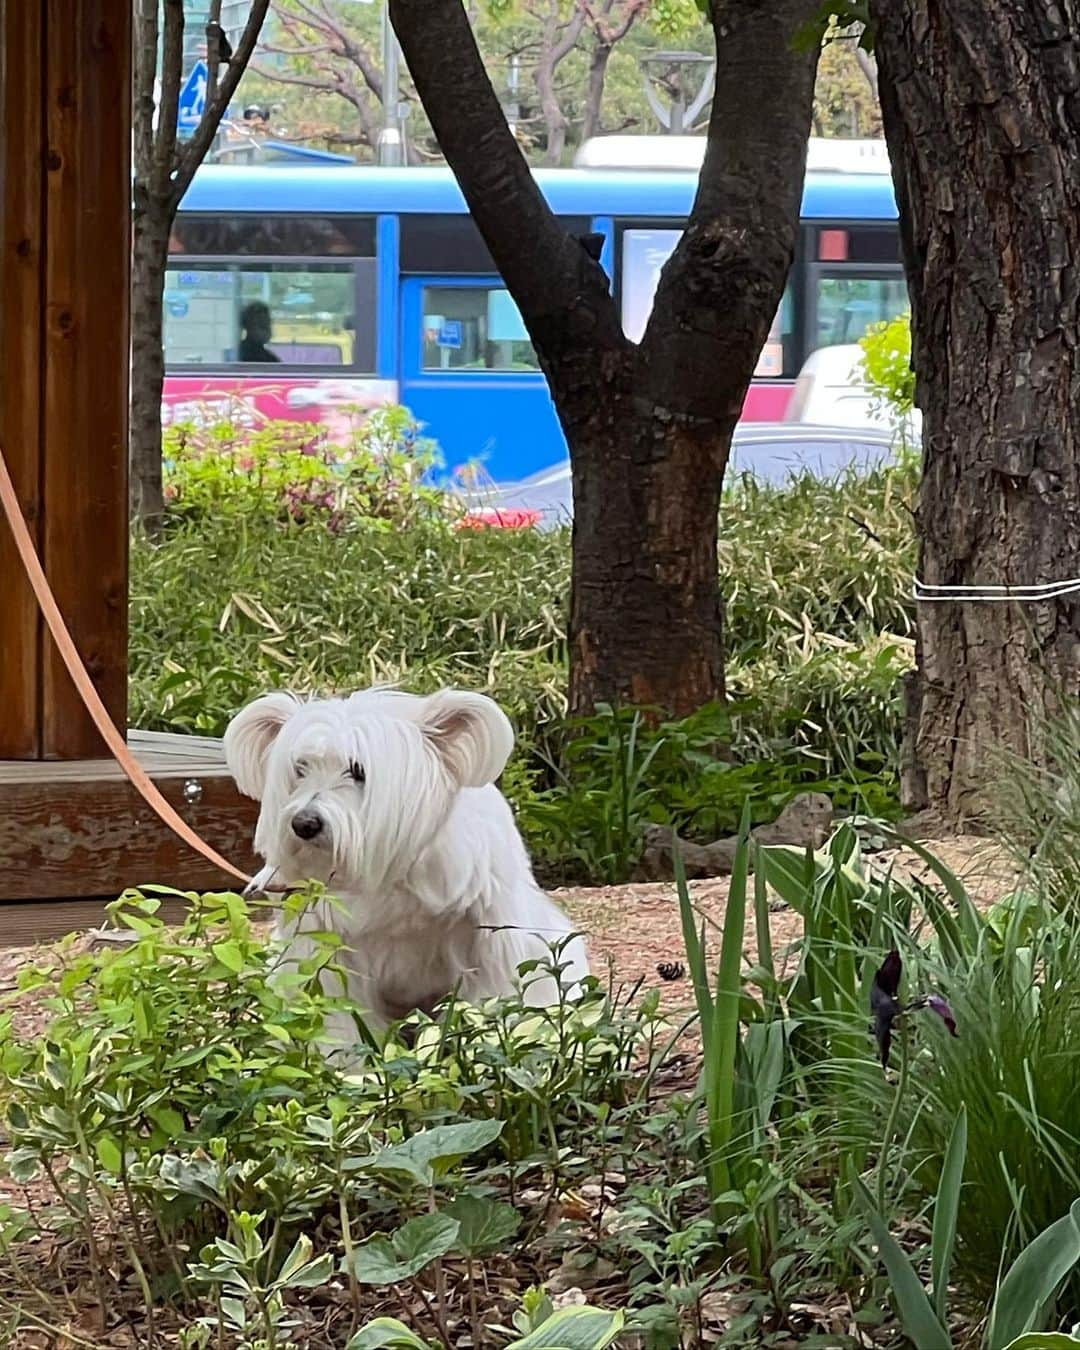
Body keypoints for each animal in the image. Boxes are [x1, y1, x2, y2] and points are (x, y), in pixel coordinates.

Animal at [222, 691, 585, 1036]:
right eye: (300, 769)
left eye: (358, 770)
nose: (304, 824)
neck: (389, 874)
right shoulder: (327, 950)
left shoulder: (495, 941)